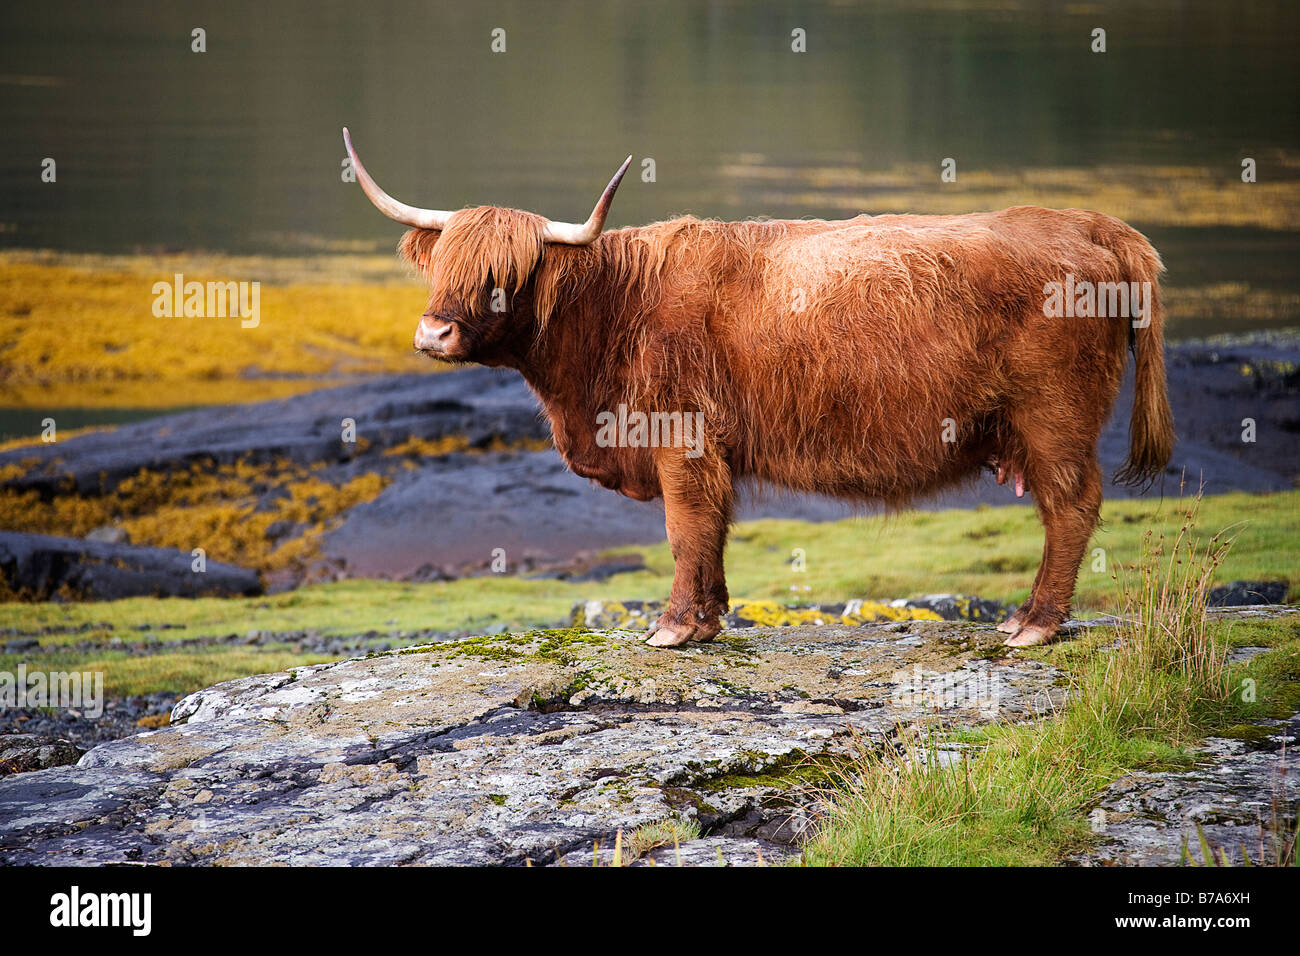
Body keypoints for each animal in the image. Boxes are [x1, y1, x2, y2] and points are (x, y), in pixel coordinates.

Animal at [340, 128, 1175, 650]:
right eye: (443, 266)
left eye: (501, 276)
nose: (434, 334)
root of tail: (1089, 222)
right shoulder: (713, 450)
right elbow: (713, 529)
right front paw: (709, 620)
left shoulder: (680, 437)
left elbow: (684, 529)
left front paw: (673, 627)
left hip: (1053, 416)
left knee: (1071, 505)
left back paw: (1035, 623)